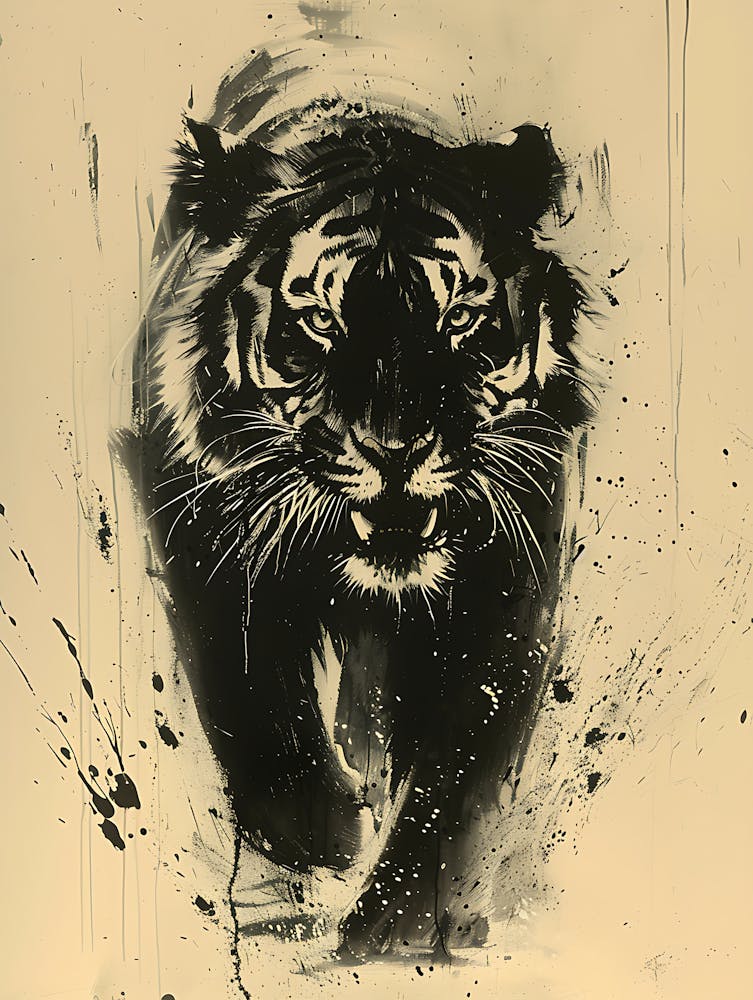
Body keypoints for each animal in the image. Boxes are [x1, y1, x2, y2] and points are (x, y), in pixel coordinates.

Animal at [126, 91, 595, 959]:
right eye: (319, 320)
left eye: (459, 317)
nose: (395, 448)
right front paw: (318, 839)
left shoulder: (506, 587)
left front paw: (392, 933)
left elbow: (449, 785)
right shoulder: (202, 540)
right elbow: (256, 705)